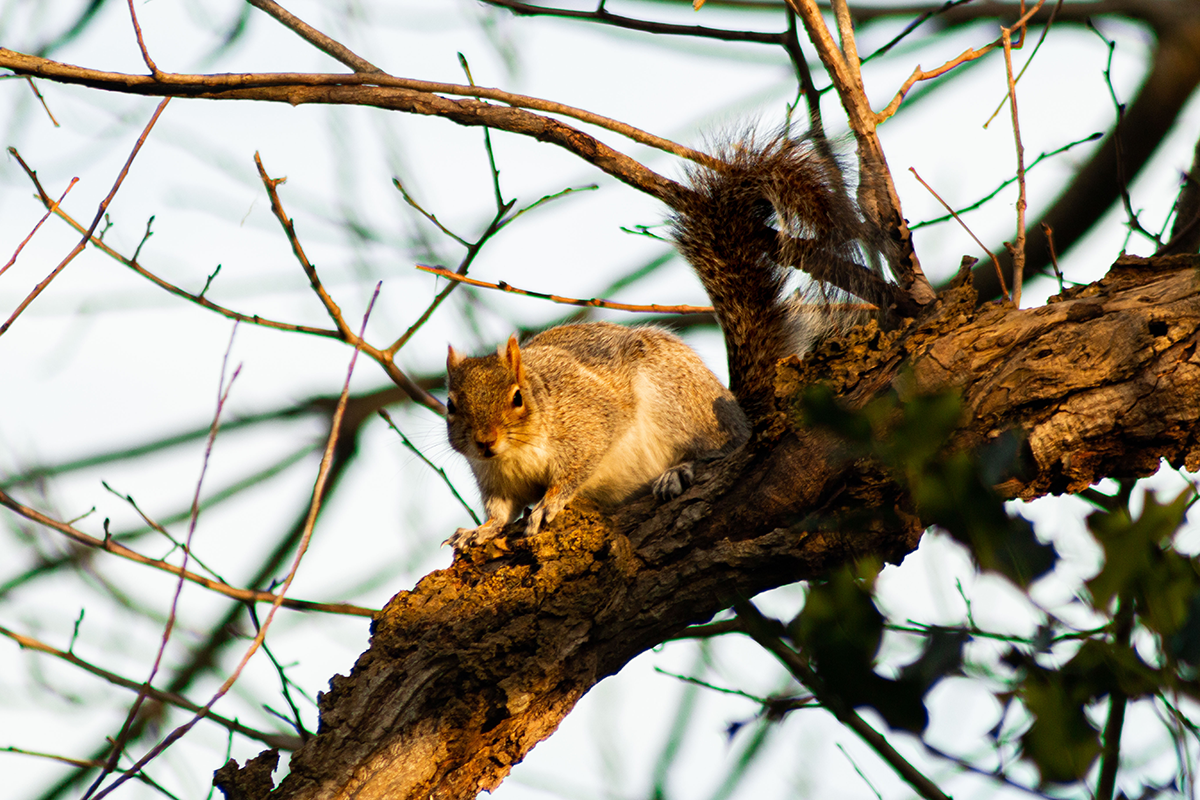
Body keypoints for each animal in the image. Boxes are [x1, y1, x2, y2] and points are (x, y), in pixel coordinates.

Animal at [444, 134, 882, 551]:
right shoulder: (495, 478)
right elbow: (500, 510)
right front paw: (480, 530)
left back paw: (681, 470)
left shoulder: (588, 422)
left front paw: (549, 502)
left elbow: (577, 467)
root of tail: (739, 412)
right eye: (450, 405)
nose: (485, 442)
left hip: (678, 401)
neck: (515, 451)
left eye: (518, 397)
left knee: (723, 448)